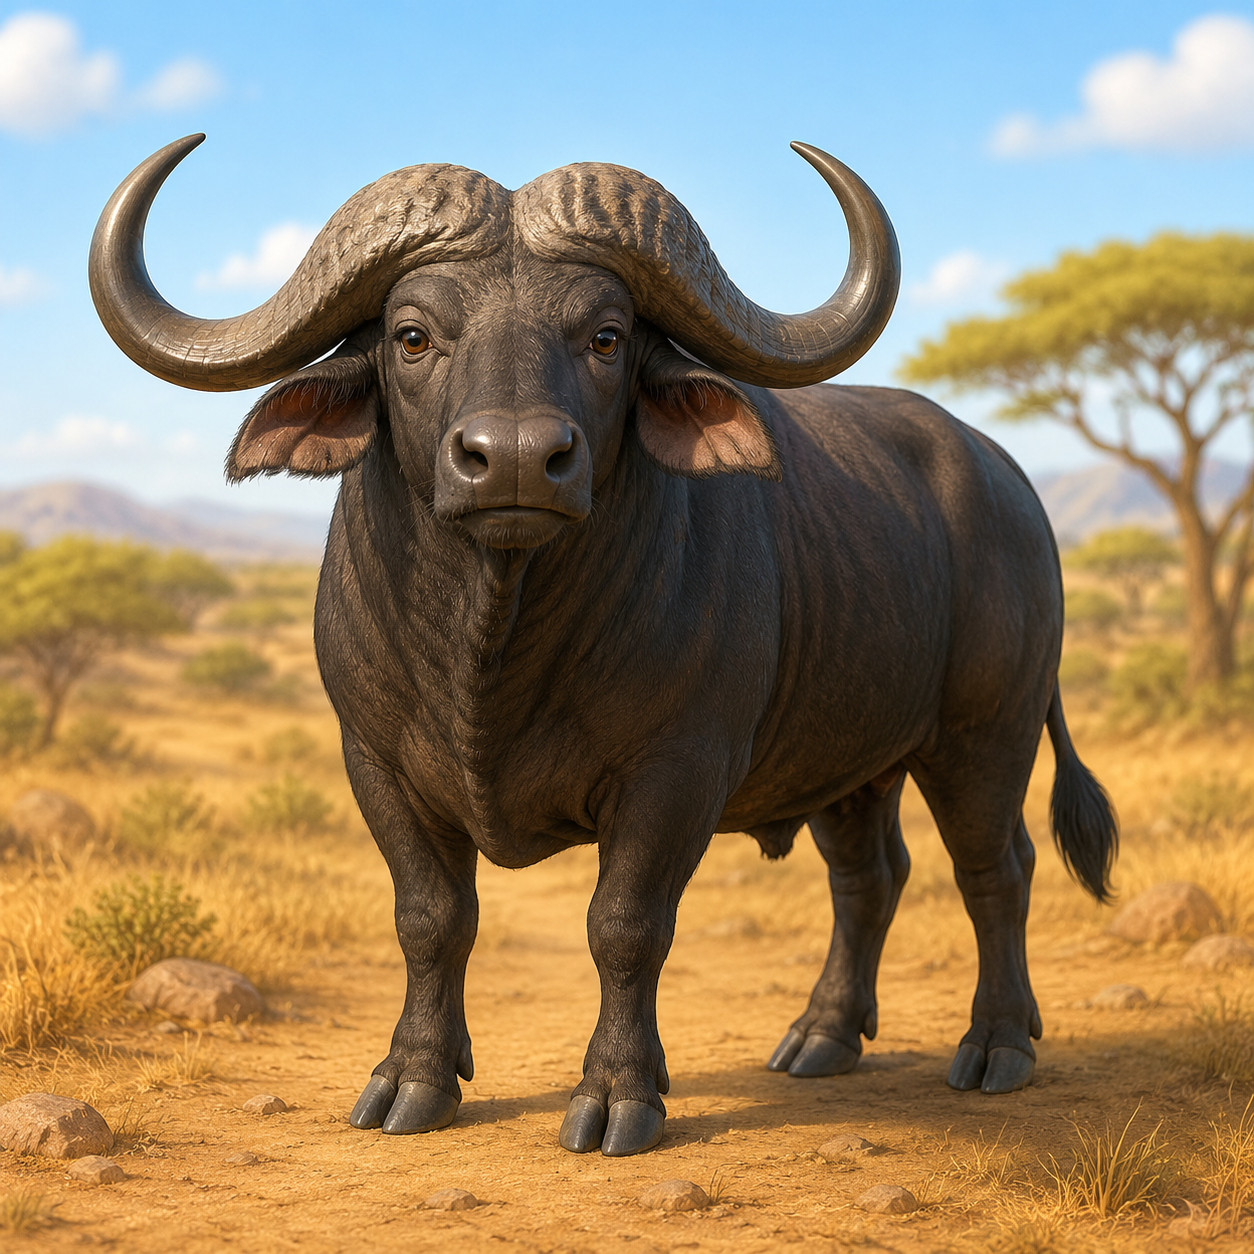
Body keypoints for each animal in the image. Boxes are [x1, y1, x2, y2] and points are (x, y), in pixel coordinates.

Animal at [90, 135, 1117, 1158]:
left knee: (996, 871)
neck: (491, 649)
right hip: (852, 763)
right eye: (412, 335)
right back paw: (821, 1036)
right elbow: (431, 919)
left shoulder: (678, 771)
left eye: (606, 337)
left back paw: (996, 1045)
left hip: (984, 736)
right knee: (870, 878)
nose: (513, 460)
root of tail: (1008, 481)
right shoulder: (375, 761)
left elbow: (624, 925)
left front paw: (621, 1093)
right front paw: (413, 1078)